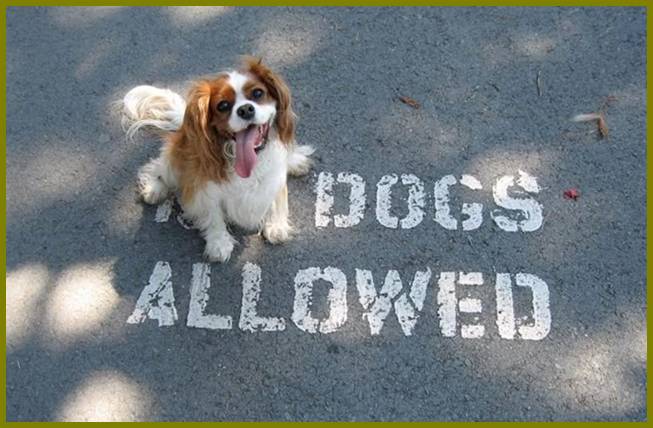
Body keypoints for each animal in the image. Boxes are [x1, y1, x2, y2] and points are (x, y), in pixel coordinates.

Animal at [120, 57, 314, 262]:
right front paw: (218, 242)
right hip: (175, 162)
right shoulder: (202, 184)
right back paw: (154, 187)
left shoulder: (274, 175)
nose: (245, 109)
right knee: (156, 165)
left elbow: (277, 195)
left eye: (258, 93)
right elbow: (213, 213)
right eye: (223, 106)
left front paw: (276, 225)